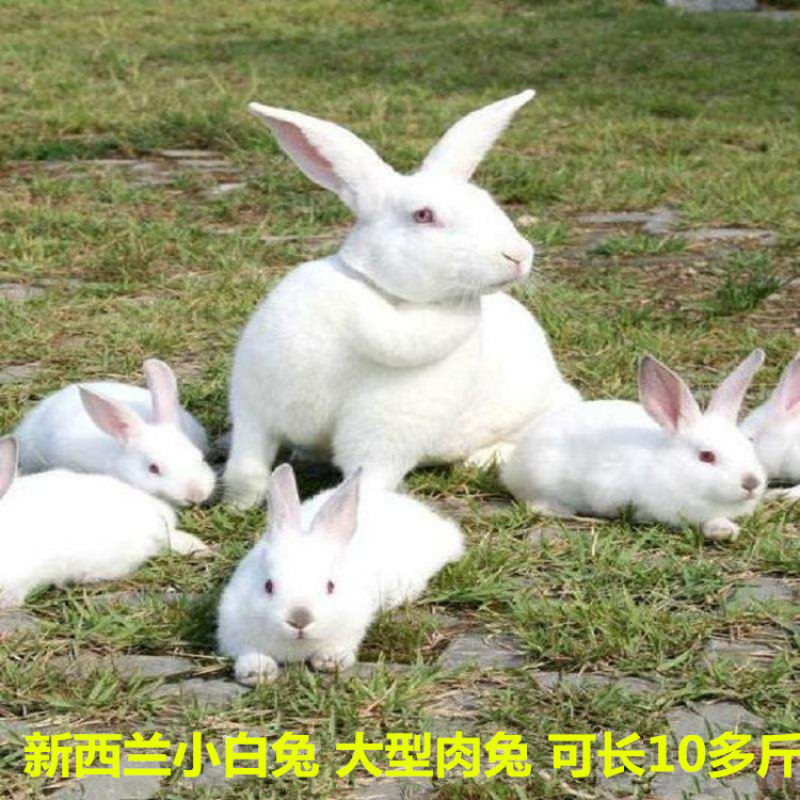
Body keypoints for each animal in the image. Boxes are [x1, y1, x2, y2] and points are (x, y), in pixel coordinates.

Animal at [217, 464, 464, 685]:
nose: (300, 619)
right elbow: (248, 653)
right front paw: (256, 672)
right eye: (268, 586)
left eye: (330, 586)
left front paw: (330, 660)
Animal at [223, 90, 579, 507]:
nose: (519, 255)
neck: (383, 296)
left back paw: (484, 458)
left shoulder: (382, 437)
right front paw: (238, 505)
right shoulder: (254, 407)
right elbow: (246, 468)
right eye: (423, 215)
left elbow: (363, 481)